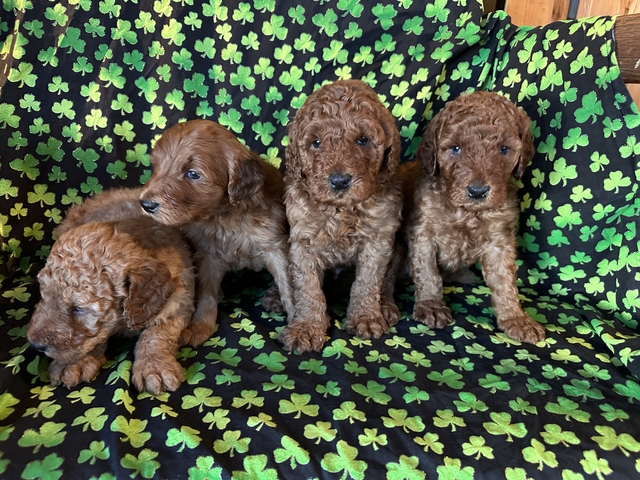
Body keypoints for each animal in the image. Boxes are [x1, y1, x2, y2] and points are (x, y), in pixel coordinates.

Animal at [27, 188, 196, 394]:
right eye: (44, 294)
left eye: (78, 309)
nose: (35, 344)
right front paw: (73, 364)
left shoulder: (179, 301)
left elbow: (156, 335)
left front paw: (154, 366)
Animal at [139, 120, 295, 347]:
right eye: (156, 167)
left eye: (193, 174)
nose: (146, 204)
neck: (224, 214)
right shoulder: (207, 254)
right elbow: (206, 293)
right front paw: (199, 327)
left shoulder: (275, 245)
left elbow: (289, 284)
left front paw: (300, 324)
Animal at [278, 79, 403, 353]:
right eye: (315, 143)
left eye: (363, 140)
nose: (339, 181)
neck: (341, 209)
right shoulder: (302, 240)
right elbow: (308, 288)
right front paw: (306, 327)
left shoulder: (378, 238)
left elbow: (368, 281)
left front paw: (365, 317)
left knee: (387, 281)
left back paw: (386, 307)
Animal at [382, 90, 545, 344]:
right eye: (455, 148)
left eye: (504, 149)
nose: (478, 191)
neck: (466, 212)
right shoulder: (423, 233)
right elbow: (428, 273)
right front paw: (431, 306)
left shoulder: (500, 242)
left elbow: (505, 282)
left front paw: (516, 318)